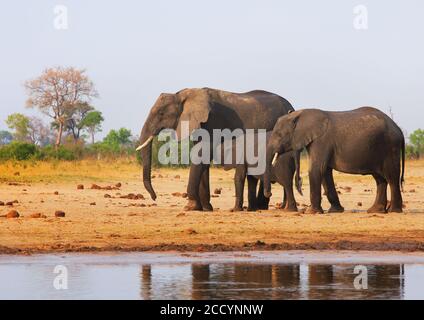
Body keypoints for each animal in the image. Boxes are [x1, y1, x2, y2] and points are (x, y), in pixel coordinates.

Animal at [137, 89, 294, 211]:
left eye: (161, 114)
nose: (154, 197)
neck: (183, 94)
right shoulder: (200, 124)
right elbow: (202, 160)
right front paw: (206, 209)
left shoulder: (212, 123)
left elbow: (201, 155)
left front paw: (190, 207)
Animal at [264, 107, 406, 215]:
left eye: (279, 135)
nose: (268, 194)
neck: (301, 113)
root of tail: (399, 129)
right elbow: (325, 172)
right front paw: (335, 211)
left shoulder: (321, 141)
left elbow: (316, 169)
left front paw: (311, 212)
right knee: (380, 179)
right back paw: (375, 211)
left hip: (390, 147)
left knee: (391, 177)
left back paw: (394, 211)